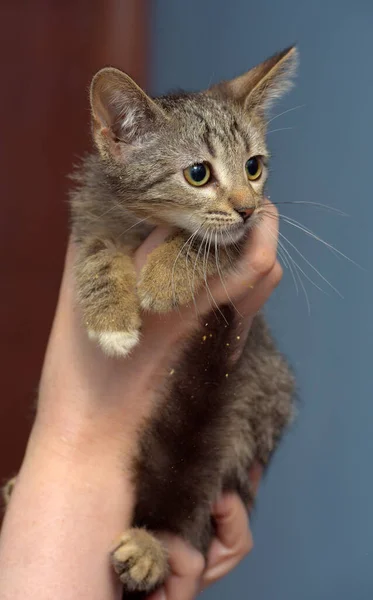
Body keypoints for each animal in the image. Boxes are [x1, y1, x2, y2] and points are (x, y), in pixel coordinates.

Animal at [2, 45, 296, 596]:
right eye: (198, 174)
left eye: (253, 167)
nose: (245, 208)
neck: (147, 223)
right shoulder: (90, 212)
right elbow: (97, 254)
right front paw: (112, 320)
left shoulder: (255, 229)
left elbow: (213, 243)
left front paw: (165, 276)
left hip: (248, 412)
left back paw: (151, 547)